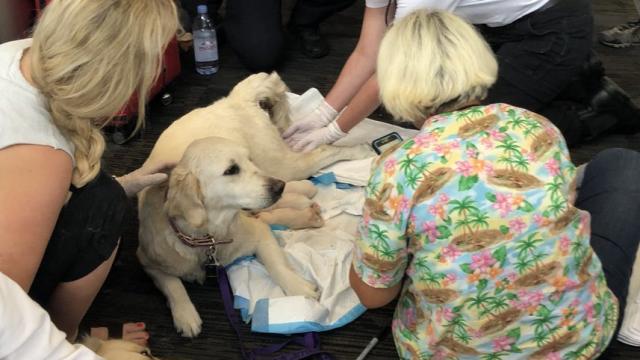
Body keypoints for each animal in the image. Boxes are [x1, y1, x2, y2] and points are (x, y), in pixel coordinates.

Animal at [138, 72, 372, 338]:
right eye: (231, 170)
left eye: (247, 161)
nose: (279, 187)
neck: (206, 238)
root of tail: (234, 99)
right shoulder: (146, 259)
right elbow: (172, 284)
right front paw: (185, 315)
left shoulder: (258, 232)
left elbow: (277, 264)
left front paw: (298, 287)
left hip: (283, 166)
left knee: (324, 148)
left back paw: (359, 151)